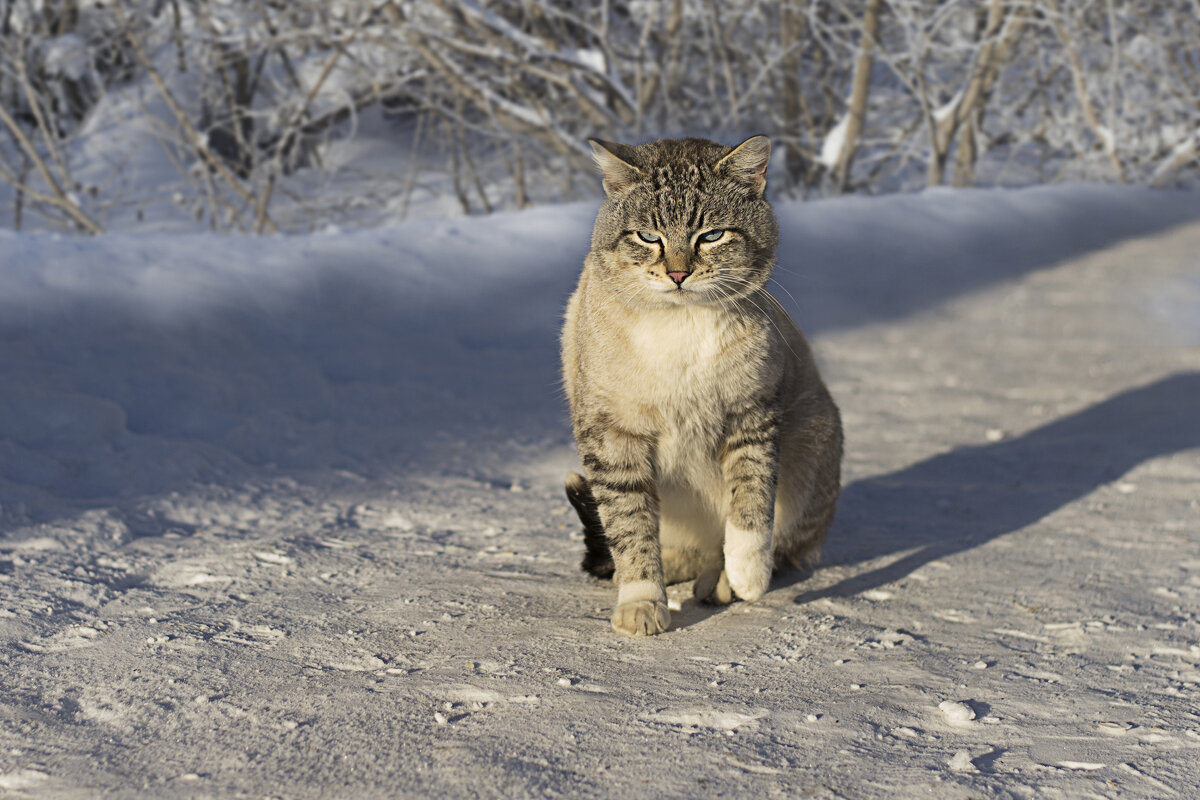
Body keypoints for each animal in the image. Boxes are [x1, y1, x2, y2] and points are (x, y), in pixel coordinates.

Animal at [556, 137, 840, 638]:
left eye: (711, 236)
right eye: (648, 237)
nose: (677, 275)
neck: (681, 326)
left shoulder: (753, 414)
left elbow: (751, 503)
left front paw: (747, 575)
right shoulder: (614, 435)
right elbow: (630, 528)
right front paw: (642, 603)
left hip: (814, 445)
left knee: (761, 544)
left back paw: (721, 583)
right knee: (656, 546)